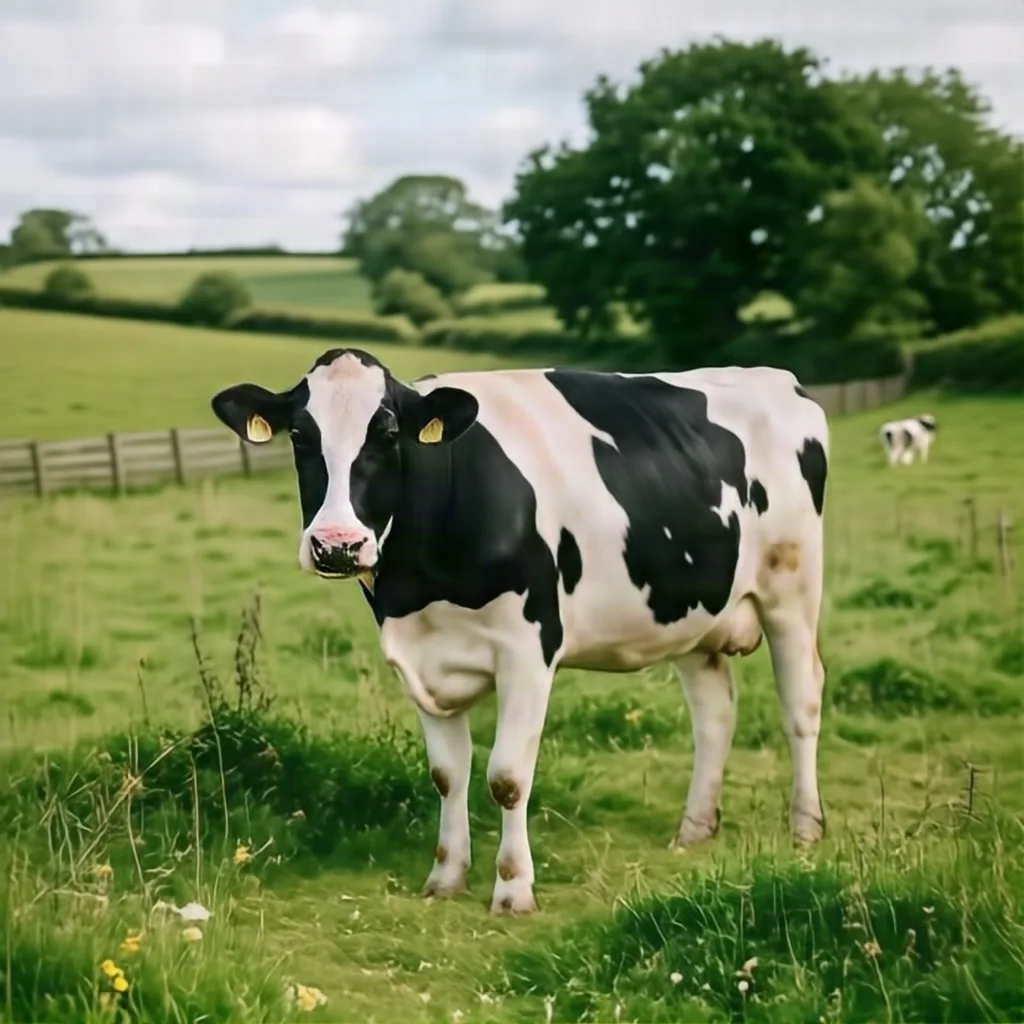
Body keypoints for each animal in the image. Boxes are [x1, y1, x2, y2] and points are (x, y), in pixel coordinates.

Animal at [211, 348, 830, 915]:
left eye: (386, 433)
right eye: (299, 434)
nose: (337, 544)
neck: (420, 583)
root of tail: (775, 378)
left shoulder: (529, 652)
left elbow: (507, 777)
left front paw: (513, 888)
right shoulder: (420, 659)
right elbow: (446, 774)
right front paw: (446, 876)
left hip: (792, 591)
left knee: (801, 703)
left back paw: (805, 828)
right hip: (693, 614)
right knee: (714, 715)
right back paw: (695, 828)